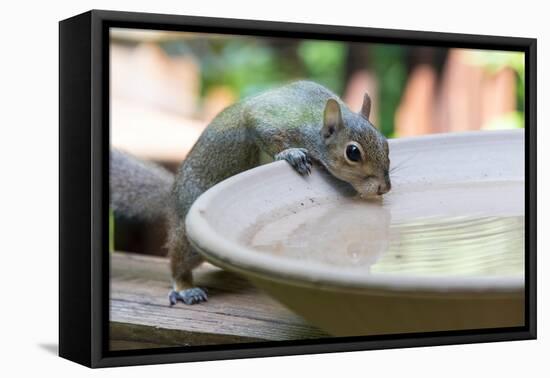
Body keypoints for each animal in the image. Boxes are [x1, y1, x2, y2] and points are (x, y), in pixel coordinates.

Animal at [110, 81, 390, 306]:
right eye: (353, 153)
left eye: (385, 142)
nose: (384, 187)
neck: (314, 122)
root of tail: (171, 197)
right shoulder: (269, 119)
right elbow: (262, 129)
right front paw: (292, 154)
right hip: (187, 234)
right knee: (178, 261)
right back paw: (185, 288)